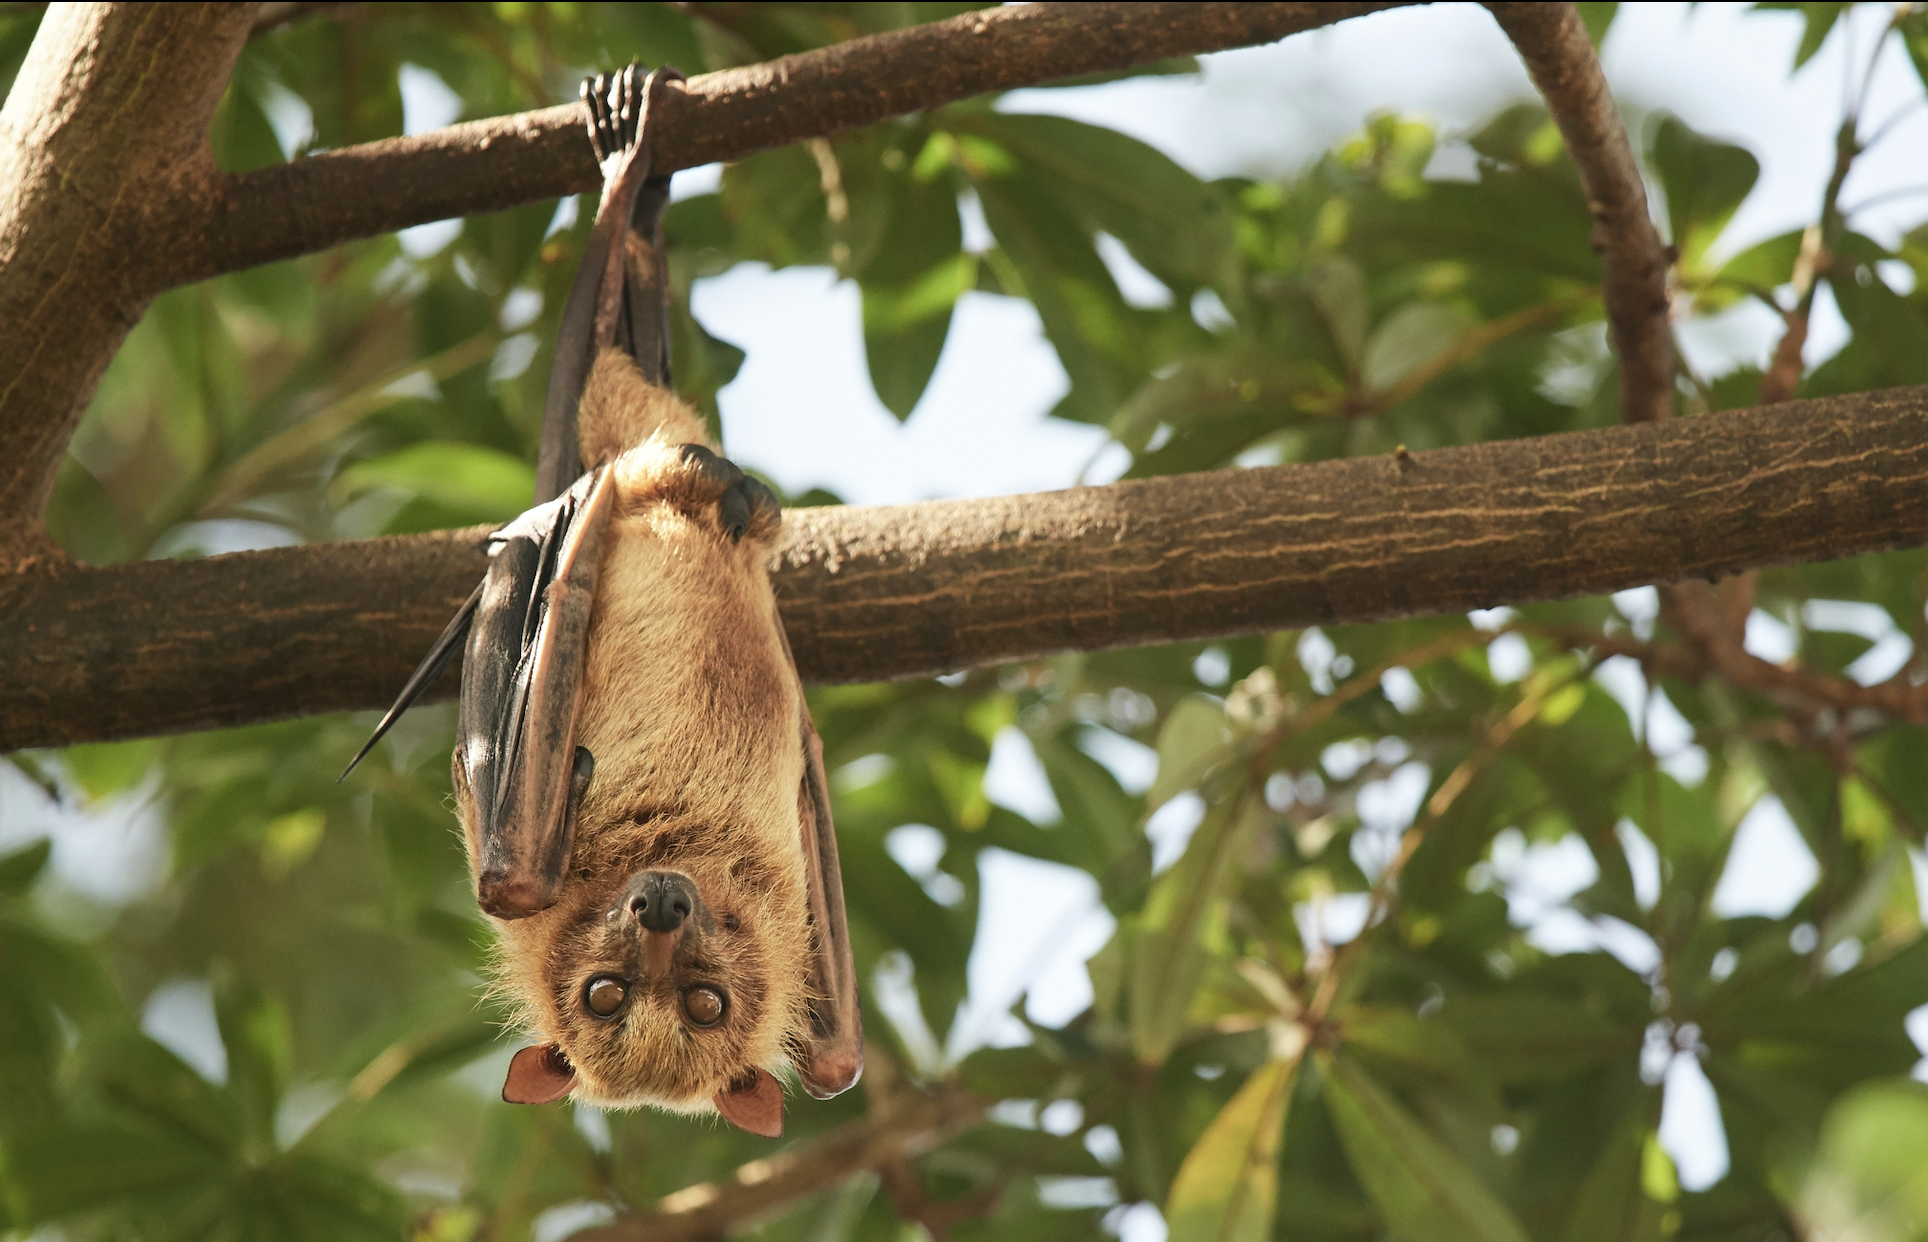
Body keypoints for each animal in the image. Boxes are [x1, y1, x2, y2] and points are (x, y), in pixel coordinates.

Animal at [344, 65, 860, 1139]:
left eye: (704, 1002)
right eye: (608, 995)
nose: (659, 906)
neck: (680, 842)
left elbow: (835, 1060)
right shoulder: (519, 868)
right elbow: (509, 879)